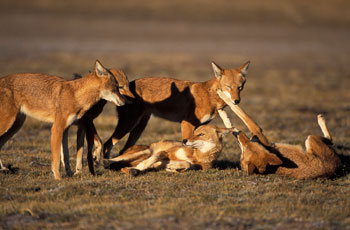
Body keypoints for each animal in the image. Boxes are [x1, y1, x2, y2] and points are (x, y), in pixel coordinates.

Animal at [103, 125, 232, 175]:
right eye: (194, 133)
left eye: (201, 134)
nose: (184, 140)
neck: (196, 156)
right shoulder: (163, 153)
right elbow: (148, 162)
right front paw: (139, 168)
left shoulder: (195, 167)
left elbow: (186, 165)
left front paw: (172, 168)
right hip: (146, 152)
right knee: (113, 160)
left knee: (122, 166)